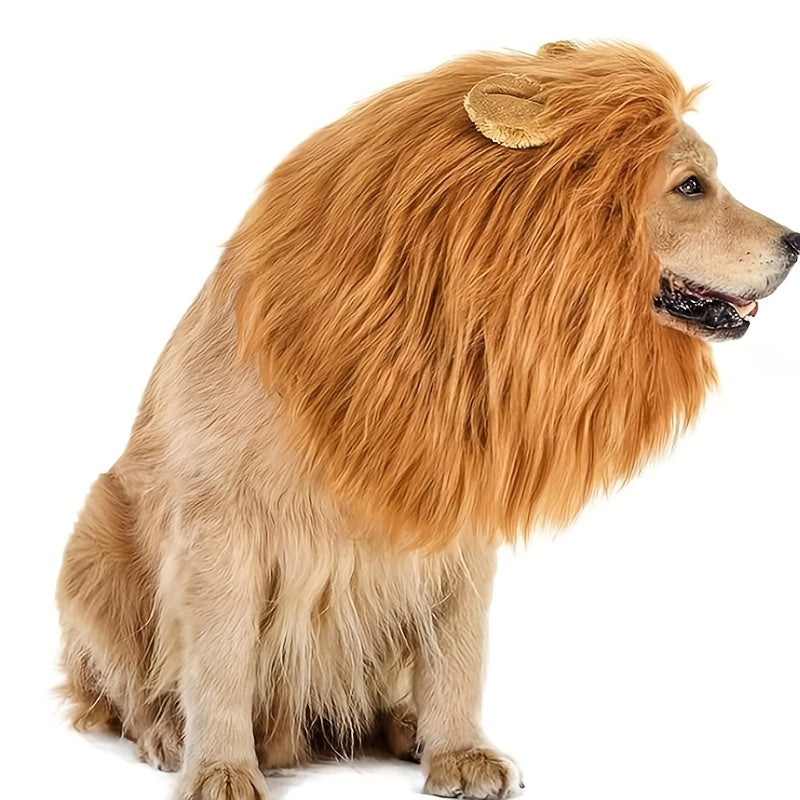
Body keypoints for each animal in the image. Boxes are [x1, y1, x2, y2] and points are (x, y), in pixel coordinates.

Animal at [56, 41, 797, 800]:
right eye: (691, 186)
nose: (796, 242)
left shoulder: (456, 519)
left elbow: (458, 657)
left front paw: (460, 752)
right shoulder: (222, 525)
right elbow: (221, 661)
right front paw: (222, 769)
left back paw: (407, 727)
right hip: (96, 540)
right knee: (125, 693)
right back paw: (169, 733)